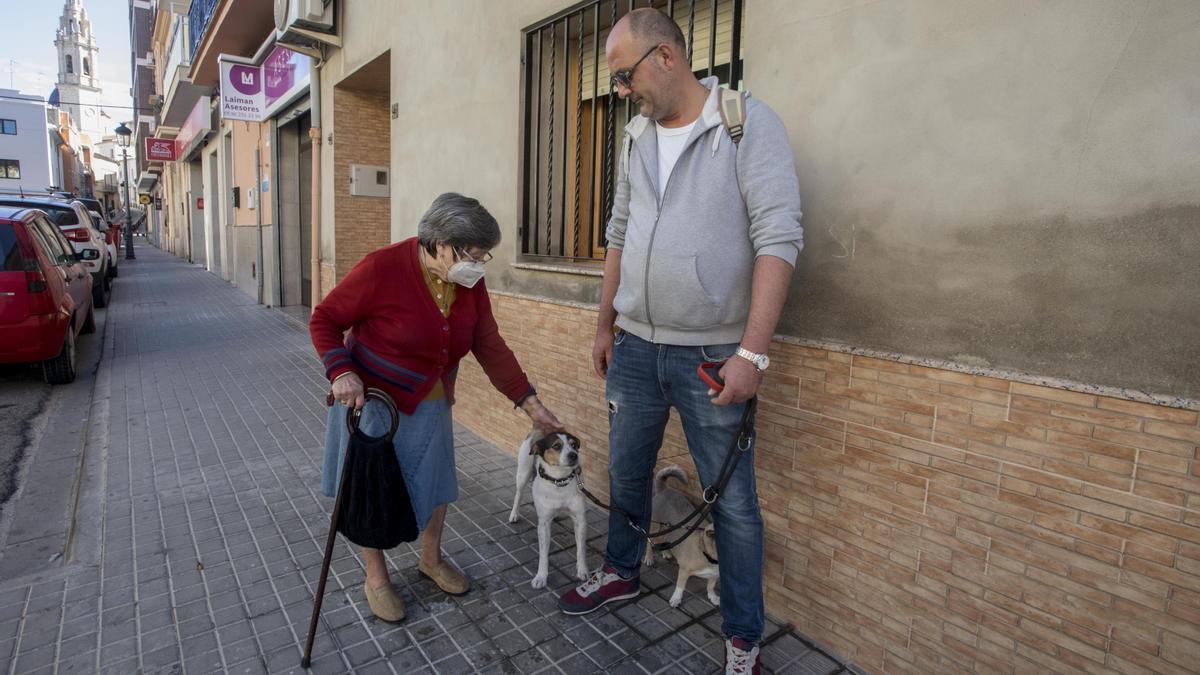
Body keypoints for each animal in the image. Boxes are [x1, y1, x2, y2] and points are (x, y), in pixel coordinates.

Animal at [506, 427, 590, 586]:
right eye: (556, 446)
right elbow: (543, 554)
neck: (560, 481)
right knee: (518, 494)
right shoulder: (544, 524)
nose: (574, 455)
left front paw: (582, 570)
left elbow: (581, 549)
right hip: (523, 472)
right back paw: (514, 514)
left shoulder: (580, 520)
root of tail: (538, 427)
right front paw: (541, 576)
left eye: (574, 445)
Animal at [643, 461, 715, 605]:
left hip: (667, 528)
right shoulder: (684, 571)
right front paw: (676, 599)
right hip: (654, 526)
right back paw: (649, 558)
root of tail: (664, 489)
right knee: (650, 542)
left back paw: (666, 552)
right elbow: (680, 587)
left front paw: (713, 597)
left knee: (663, 540)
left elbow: (710, 587)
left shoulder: (714, 575)